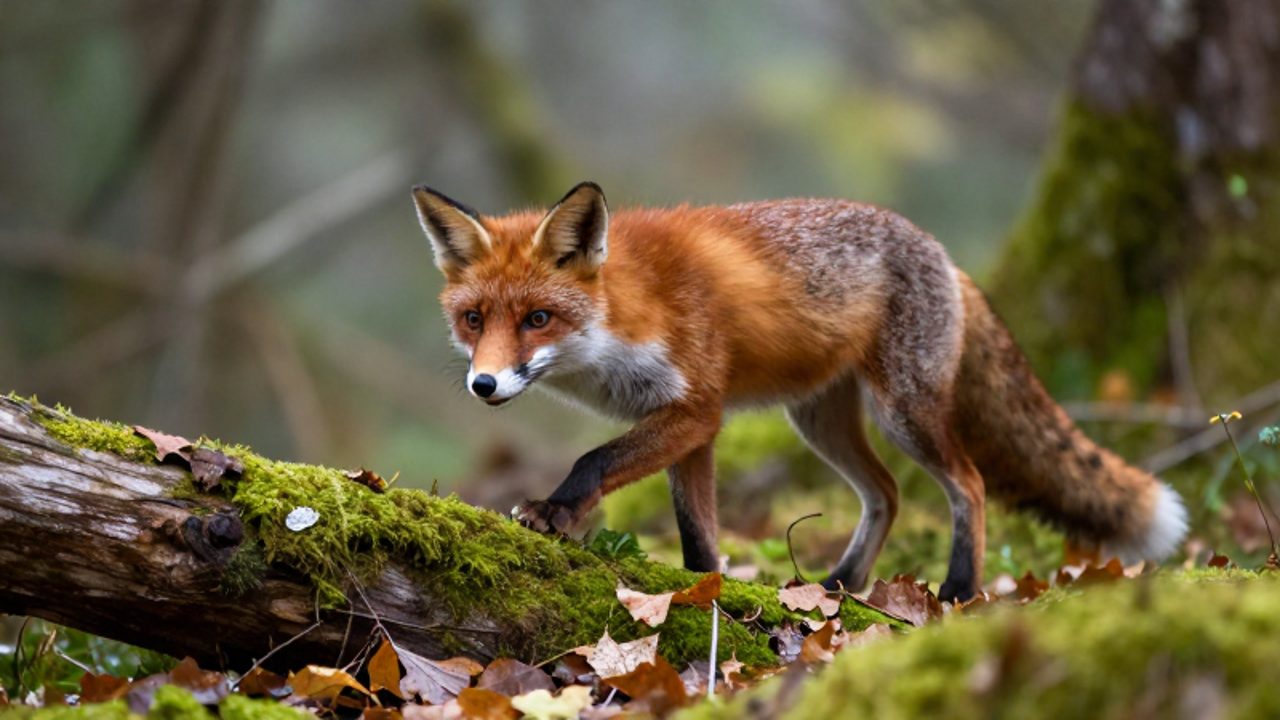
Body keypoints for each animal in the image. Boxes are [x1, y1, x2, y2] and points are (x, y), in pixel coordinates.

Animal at [411, 181, 1188, 602]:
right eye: (474, 320)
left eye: (538, 319)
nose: (483, 383)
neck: (626, 314)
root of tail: (944, 254)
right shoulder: (689, 423)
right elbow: (699, 533)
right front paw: (706, 590)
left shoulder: (696, 410)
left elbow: (593, 461)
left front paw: (554, 511)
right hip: (818, 420)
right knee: (888, 493)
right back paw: (841, 582)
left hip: (903, 412)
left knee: (967, 484)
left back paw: (959, 590)